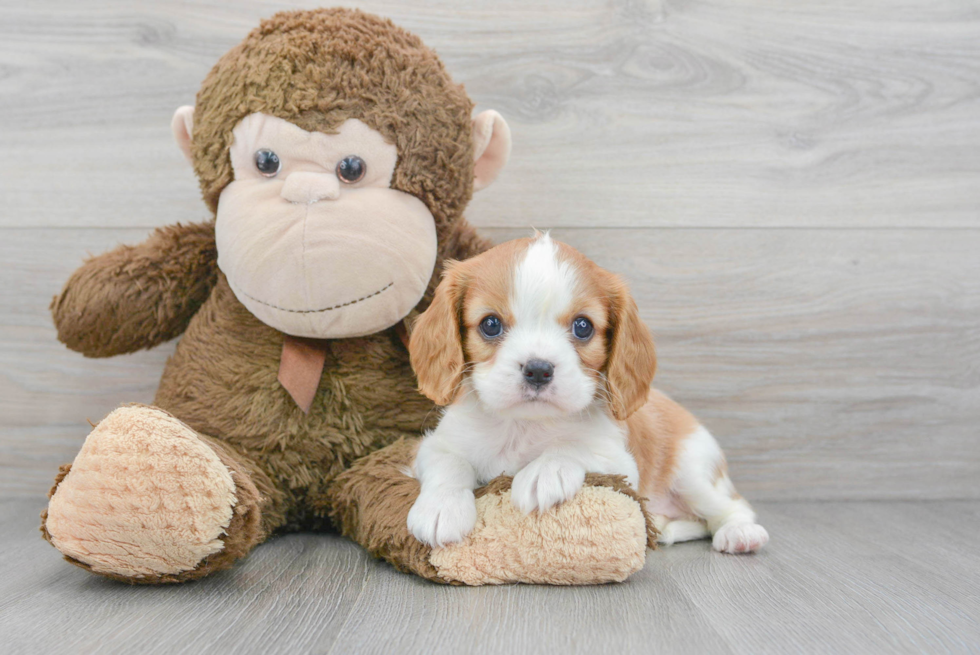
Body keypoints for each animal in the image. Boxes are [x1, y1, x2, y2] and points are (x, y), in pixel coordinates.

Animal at [404, 234, 764, 552]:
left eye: (583, 326)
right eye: (490, 324)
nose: (538, 369)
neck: (524, 425)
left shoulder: (621, 463)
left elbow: (573, 447)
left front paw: (544, 472)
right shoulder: (433, 445)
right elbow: (449, 463)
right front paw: (441, 508)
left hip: (694, 473)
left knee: (733, 507)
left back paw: (740, 533)